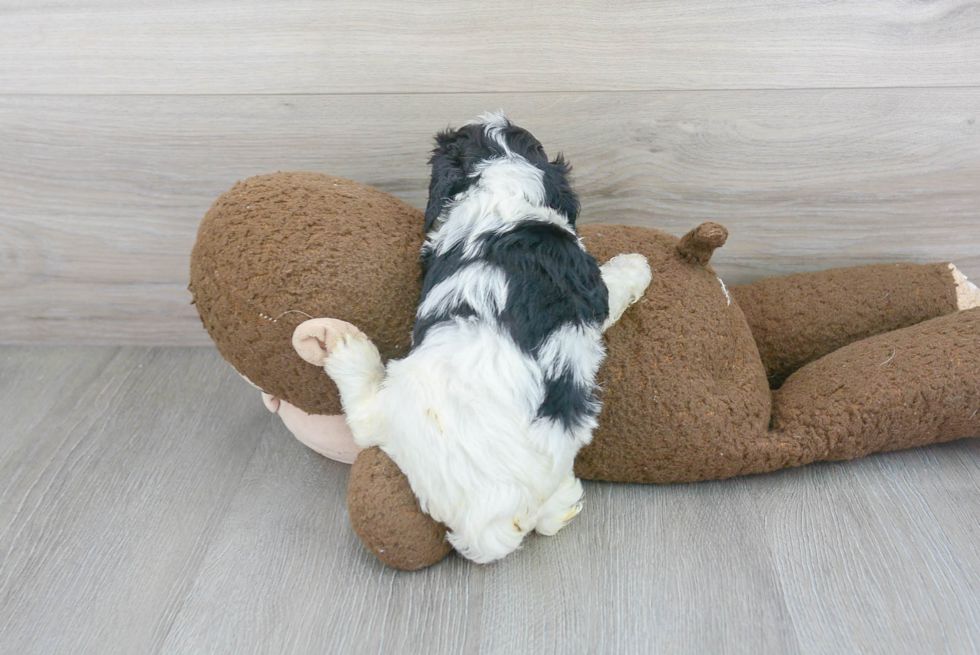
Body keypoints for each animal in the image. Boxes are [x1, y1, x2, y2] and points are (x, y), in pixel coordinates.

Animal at [318, 114, 652, 564]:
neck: (501, 187)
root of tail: (485, 527)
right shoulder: (589, 286)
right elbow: (616, 283)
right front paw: (638, 266)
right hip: (397, 397)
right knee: (363, 417)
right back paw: (350, 355)